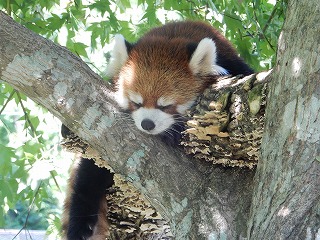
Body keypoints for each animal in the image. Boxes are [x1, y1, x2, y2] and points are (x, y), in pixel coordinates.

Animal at [62, 21, 252, 240]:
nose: (147, 124)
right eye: (137, 103)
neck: (172, 36)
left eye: (166, 106)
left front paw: (175, 132)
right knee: (88, 179)